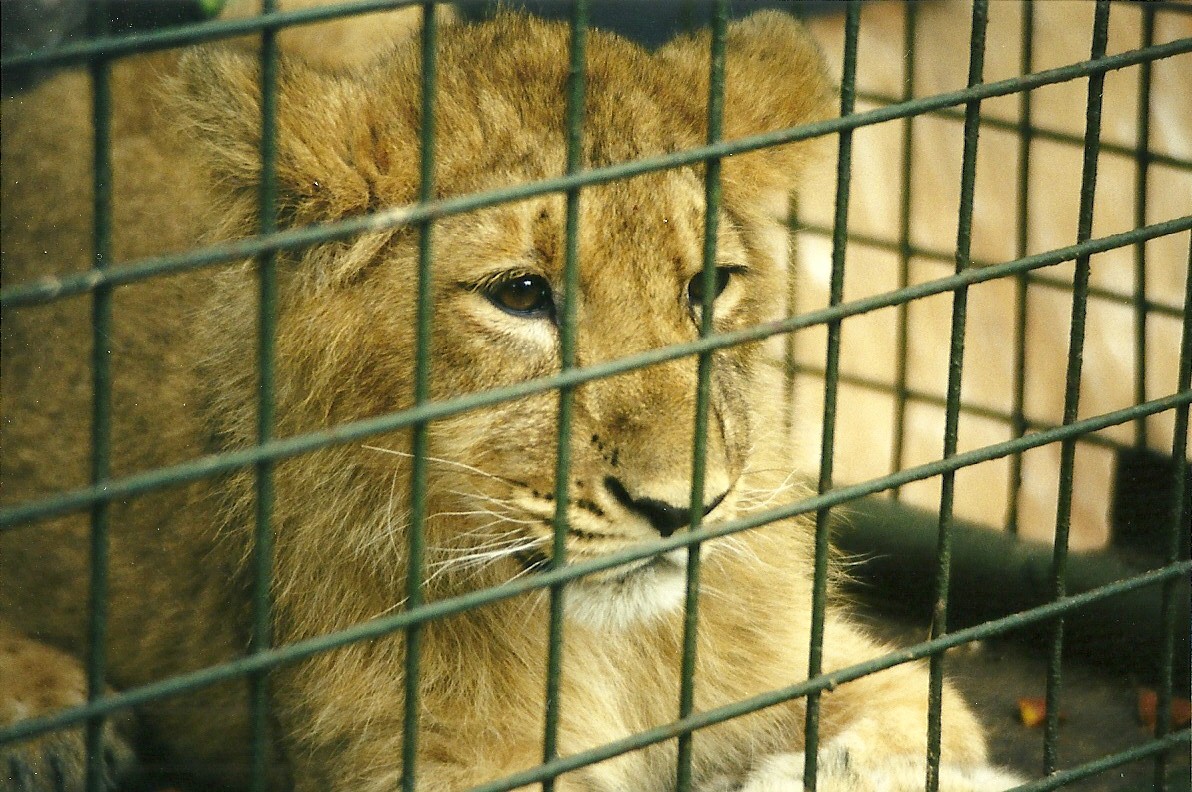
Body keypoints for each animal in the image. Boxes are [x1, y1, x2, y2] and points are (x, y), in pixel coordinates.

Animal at [1, 9, 1025, 792]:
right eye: (522, 295)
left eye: (708, 286)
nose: (682, 510)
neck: (617, 651)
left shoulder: (806, 661)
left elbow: (929, 714)